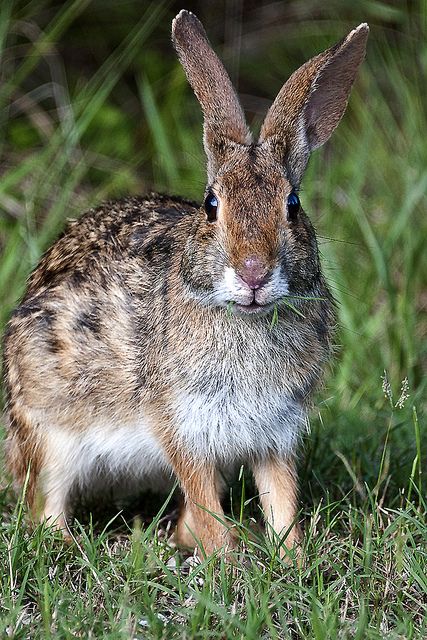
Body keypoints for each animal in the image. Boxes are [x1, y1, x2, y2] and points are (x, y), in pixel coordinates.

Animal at [1, 12, 370, 556]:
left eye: (293, 205)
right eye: (211, 205)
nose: (253, 271)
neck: (243, 316)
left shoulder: (274, 431)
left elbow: (280, 495)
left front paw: (291, 555)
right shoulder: (182, 425)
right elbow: (202, 494)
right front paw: (228, 560)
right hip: (49, 430)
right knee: (45, 506)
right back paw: (75, 544)